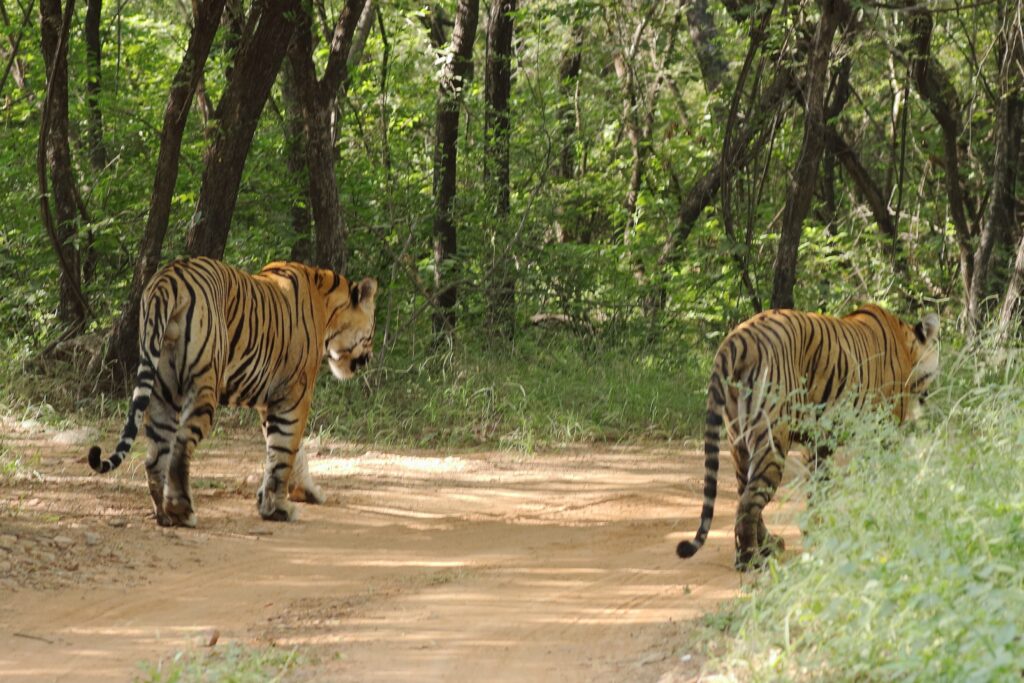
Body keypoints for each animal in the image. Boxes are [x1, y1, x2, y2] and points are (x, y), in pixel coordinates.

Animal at [90, 255, 378, 528]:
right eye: (371, 332)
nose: (368, 359)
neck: (326, 303)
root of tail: (166, 279)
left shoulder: (270, 400)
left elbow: (289, 452)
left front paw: (302, 493)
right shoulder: (294, 394)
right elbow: (285, 450)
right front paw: (278, 509)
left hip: (163, 389)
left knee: (155, 455)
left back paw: (163, 514)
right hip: (204, 384)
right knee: (180, 445)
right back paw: (182, 511)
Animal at [675, 305, 937, 573]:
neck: (907, 344)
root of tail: (738, 339)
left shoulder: (818, 441)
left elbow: (818, 487)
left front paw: (818, 531)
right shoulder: (883, 431)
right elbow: (881, 479)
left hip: (737, 439)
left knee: (742, 490)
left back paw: (769, 545)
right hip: (771, 437)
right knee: (749, 500)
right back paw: (751, 560)